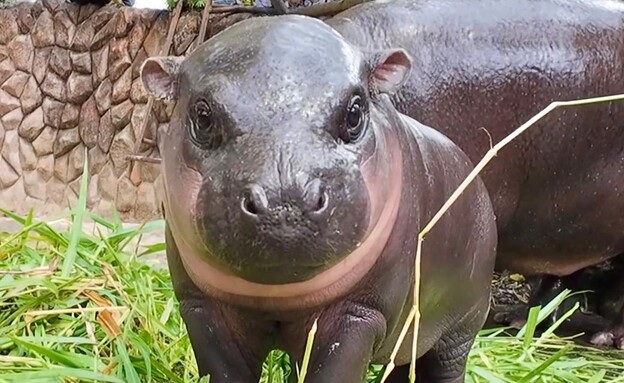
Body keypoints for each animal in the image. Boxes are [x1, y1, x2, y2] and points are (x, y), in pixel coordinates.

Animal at [140, 13, 498, 382]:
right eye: (203, 117)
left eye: (355, 112)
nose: (284, 202)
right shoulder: (201, 308)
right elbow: (223, 370)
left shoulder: (359, 314)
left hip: (462, 325)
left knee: (447, 365)